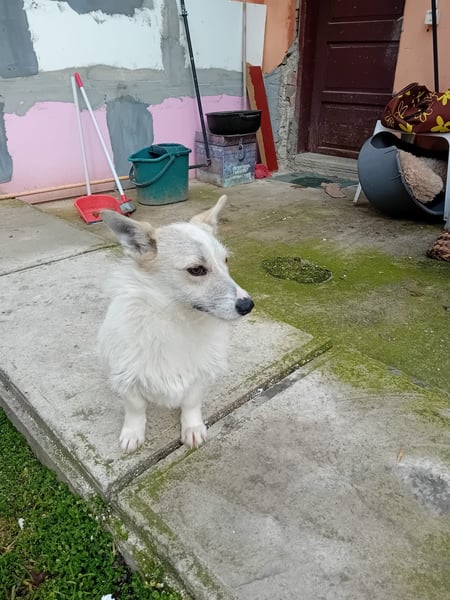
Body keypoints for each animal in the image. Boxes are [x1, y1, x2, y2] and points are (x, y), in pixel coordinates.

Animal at [98, 195, 254, 452]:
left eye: (225, 260)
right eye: (197, 270)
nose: (248, 305)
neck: (176, 319)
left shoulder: (200, 376)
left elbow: (191, 403)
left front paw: (192, 428)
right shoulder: (127, 377)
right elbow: (135, 408)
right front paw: (133, 432)